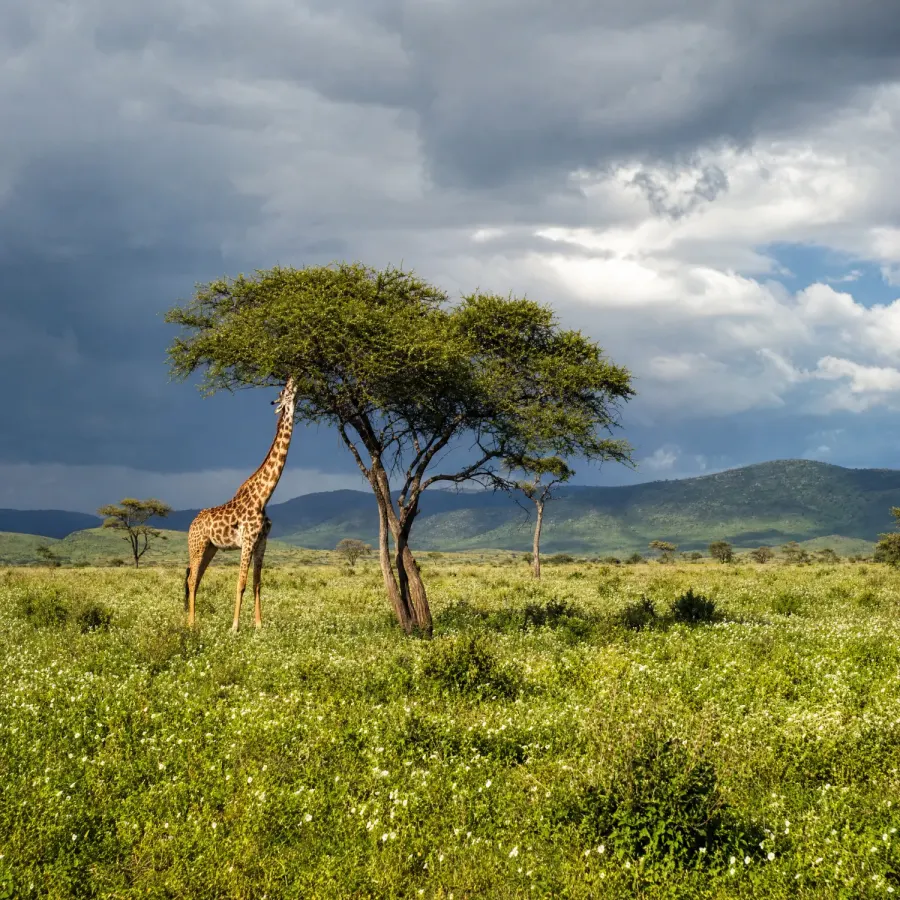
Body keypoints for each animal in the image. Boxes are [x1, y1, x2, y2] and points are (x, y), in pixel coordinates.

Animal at [183, 377, 298, 632]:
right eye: (283, 391)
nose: (293, 379)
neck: (264, 496)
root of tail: (192, 524)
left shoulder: (261, 542)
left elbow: (257, 583)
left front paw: (259, 625)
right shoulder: (247, 541)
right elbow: (241, 583)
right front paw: (234, 627)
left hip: (210, 548)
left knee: (196, 578)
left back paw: (190, 621)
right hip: (197, 546)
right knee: (192, 579)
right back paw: (192, 624)